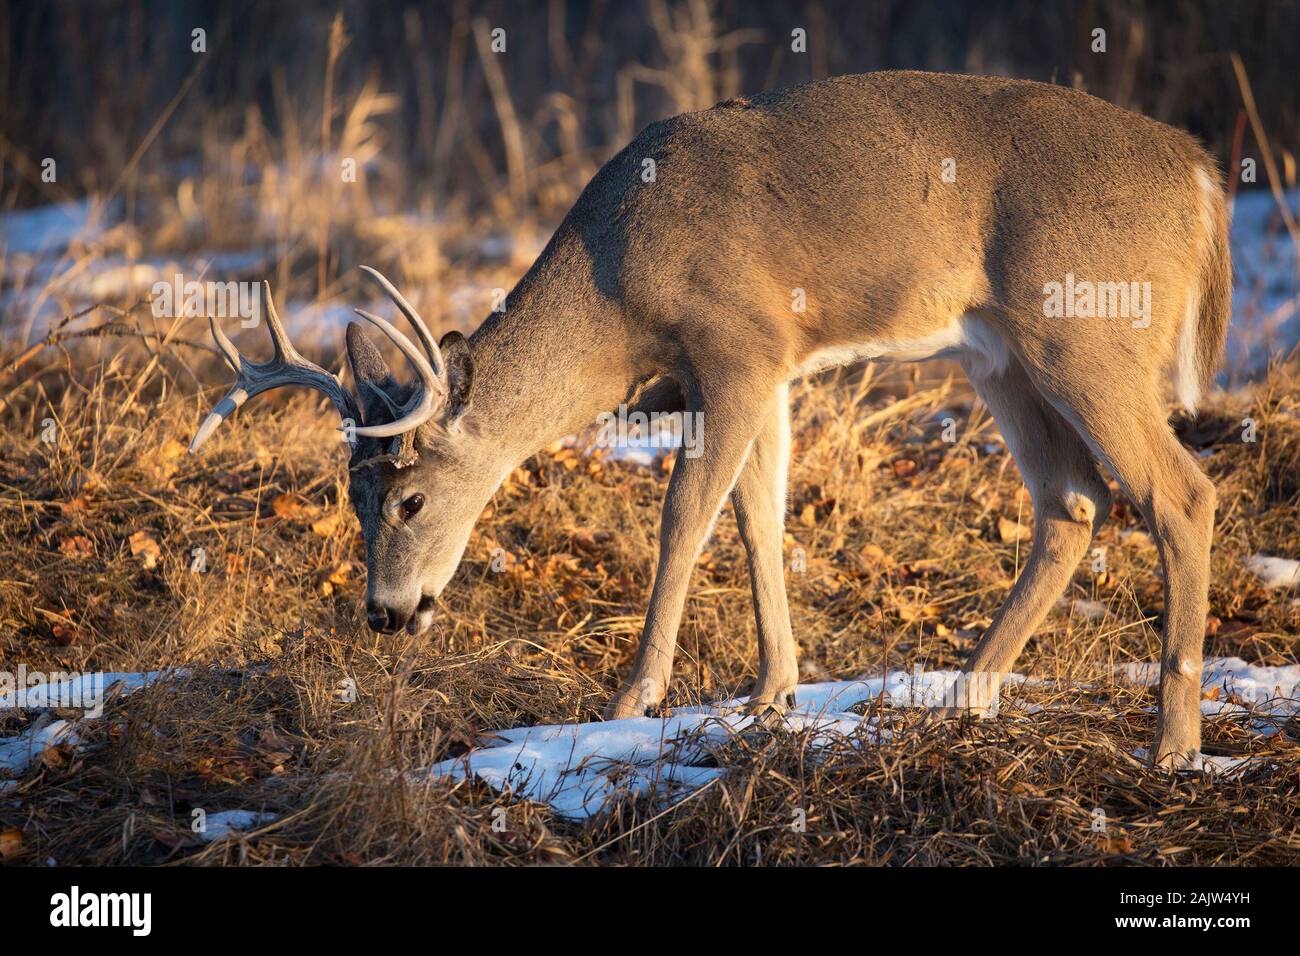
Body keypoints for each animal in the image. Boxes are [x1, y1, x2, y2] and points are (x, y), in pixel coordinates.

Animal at [189, 72, 1227, 770]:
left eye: (408, 500)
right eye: (351, 499)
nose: (386, 612)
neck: (618, 281)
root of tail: (1204, 175)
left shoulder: (736, 347)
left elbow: (685, 518)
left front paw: (632, 697)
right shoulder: (761, 374)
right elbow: (760, 519)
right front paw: (774, 693)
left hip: (1087, 329)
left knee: (1180, 493)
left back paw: (1172, 743)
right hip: (999, 353)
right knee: (1073, 502)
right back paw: (965, 694)